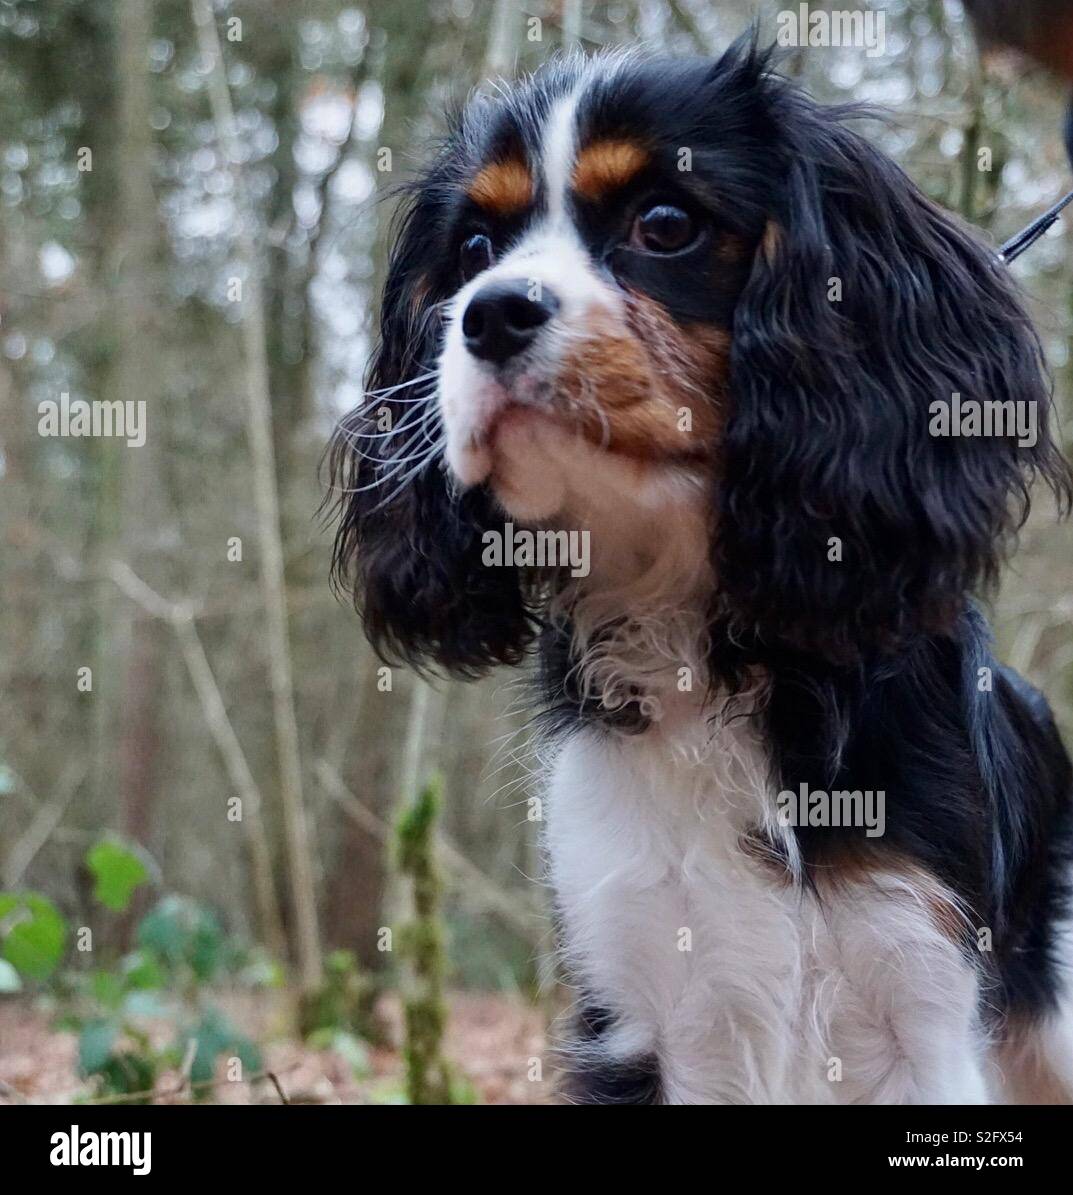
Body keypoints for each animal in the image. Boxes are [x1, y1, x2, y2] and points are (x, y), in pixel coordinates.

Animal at [327, 34, 1070, 1099]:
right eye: (470, 252)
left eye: (665, 224)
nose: (489, 313)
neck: (703, 638)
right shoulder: (639, 1008)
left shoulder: (922, 1005)